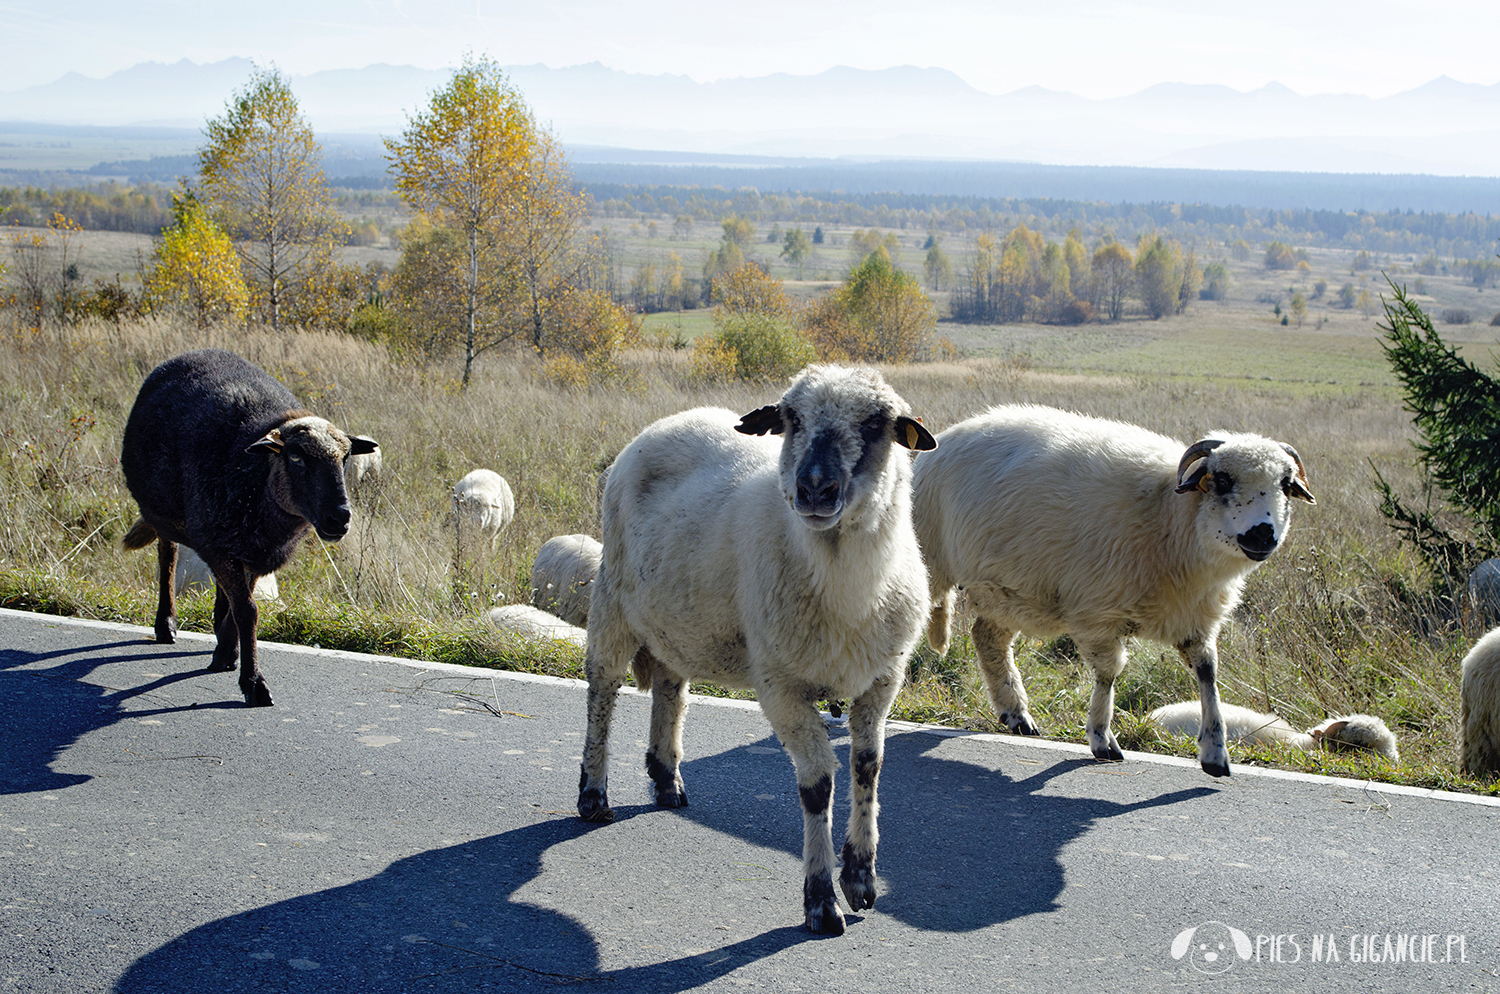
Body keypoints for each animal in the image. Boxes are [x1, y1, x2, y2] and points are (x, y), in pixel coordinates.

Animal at [123, 349, 381, 707]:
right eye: (296, 456)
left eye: (345, 458)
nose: (339, 518)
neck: (255, 482)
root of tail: (197, 352)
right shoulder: (224, 545)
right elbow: (248, 611)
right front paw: (253, 682)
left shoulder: (258, 552)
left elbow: (240, 607)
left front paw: (227, 651)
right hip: (169, 517)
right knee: (167, 558)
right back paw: (166, 624)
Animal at [576, 364, 936, 935]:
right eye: (791, 420)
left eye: (876, 424)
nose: (814, 488)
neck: (847, 587)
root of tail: (664, 423)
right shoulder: (780, 686)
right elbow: (817, 786)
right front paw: (820, 900)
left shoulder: (882, 679)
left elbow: (868, 767)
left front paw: (861, 877)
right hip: (613, 598)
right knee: (601, 690)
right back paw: (594, 794)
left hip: (679, 617)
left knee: (670, 688)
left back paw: (667, 779)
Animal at [900, 401, 1314, 779]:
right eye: (1223, 480)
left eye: (1285, 485)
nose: (1262, 534)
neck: (1171, 516)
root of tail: (949, 437)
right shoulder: (1097, 612)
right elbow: (1108, 674)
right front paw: (1101, 736)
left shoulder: (1195, 618)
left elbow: (1208, 673)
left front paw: (1215, 752)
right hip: (932, 564)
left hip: (1008, 588)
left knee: (988, 637)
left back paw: (1016, 714)